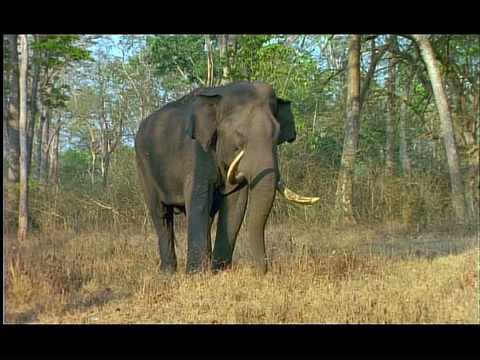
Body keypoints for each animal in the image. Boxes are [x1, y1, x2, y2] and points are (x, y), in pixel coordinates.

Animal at [134, 80, 318, 274]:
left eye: (277, 135)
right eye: (239, 135)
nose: (261, 272)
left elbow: (236, 202)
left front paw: (218, 271)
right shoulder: (195, 150)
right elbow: (199, 198)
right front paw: (196, 274)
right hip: (143, 164)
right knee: (160, 213)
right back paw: (168, 272)